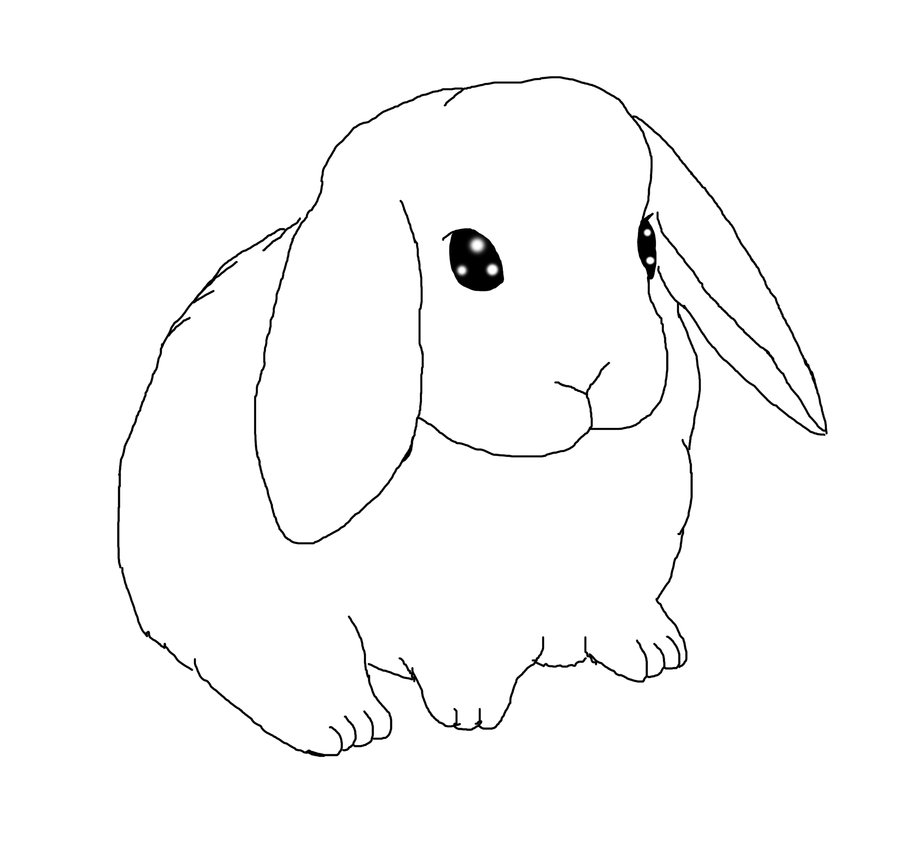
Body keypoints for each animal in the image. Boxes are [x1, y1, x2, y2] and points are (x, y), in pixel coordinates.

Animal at [118, 77, 826, 755]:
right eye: (471, 261)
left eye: (647, 244)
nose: (597, 374)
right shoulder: (448, 609)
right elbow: (466, 658)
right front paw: (473, 714)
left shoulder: (626, 558)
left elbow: (619, 609)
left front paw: (653, 654)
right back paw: (348, 724)